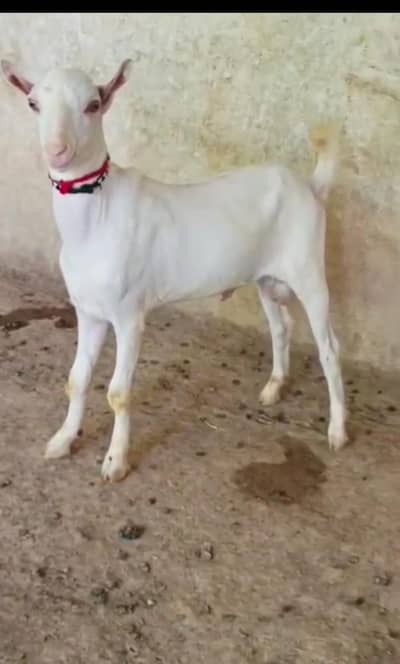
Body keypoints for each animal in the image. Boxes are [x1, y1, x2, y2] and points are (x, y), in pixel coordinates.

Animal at [2, 59, 348, 482]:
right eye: (33, 103)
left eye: (93, 105)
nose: (58, 152)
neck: (97, 217)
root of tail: (311, 187)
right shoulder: (88, 311)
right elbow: (76, 379)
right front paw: (62, 441)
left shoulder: (129, 315)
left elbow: (118, 393)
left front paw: (115, 461)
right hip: (267, 276)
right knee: (282, 327)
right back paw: (272, 389)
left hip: (309, 268)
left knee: (328, 347)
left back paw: (338, 431)